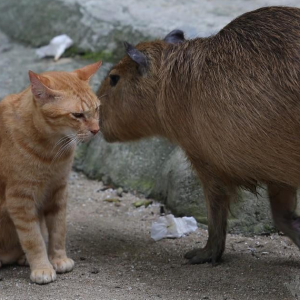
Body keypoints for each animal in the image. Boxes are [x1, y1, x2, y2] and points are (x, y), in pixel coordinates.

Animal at [0, 61, 101, 284]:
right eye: (77, 115)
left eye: (97, 109)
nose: (96, 130)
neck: (52, 151)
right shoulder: (20, 200)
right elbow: (33, 238)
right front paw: (42, 267)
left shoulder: (58, 191)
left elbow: (58, 231)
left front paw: (58, 258)